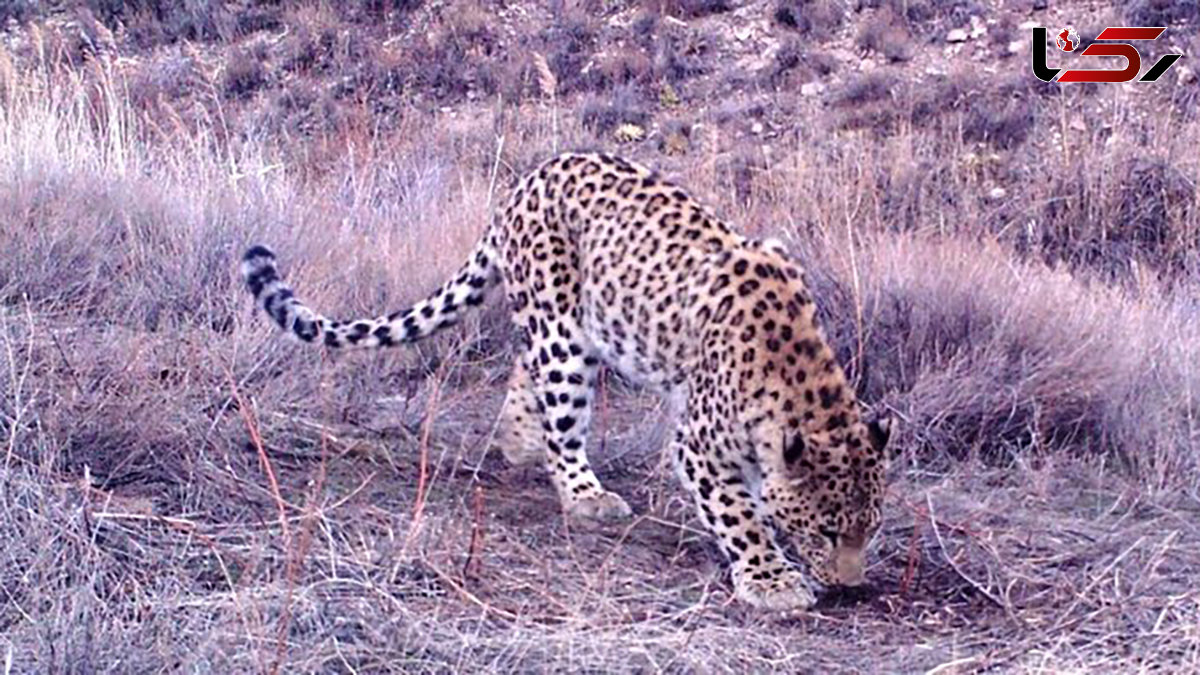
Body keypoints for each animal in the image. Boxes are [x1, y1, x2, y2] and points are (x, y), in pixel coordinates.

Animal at [241, 149, 892, 607]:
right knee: (560, 414)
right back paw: (583, 492)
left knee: (526, 371)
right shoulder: (699, 445)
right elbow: (740, 515)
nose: (851, 587)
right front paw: (773, 580)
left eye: (871, 529)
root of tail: (529, 178)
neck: (802, 380)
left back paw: (518, 441)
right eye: (827, 530)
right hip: (562, 333)